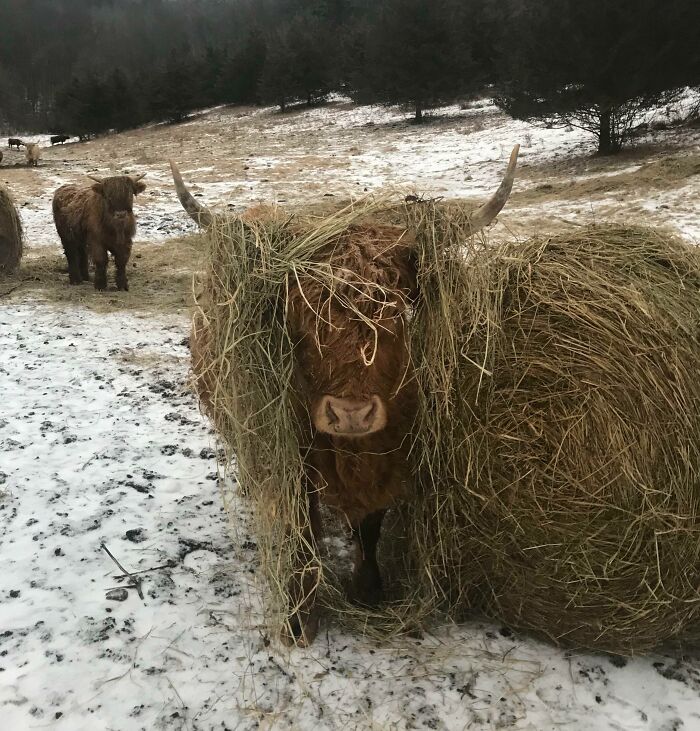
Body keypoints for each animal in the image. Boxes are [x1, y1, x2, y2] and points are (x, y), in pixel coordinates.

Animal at [171, 148, 519, 645]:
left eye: (396, 306)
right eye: (299, 311)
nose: (351, 413)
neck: (354, 454)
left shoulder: (392, 455)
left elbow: (370, 527)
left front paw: (369, 587)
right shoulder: (295, 457)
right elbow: (300, 524)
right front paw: (299, 614)